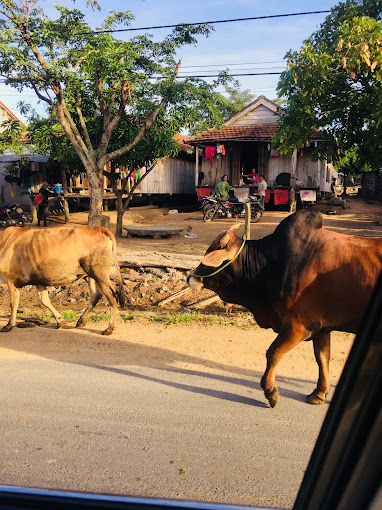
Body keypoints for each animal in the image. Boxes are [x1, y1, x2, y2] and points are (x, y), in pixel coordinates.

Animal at [188, 210, 382, 406]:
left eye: (212, 255)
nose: (191, 278)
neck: (275, 263)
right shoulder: (321, 328)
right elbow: (322, 358)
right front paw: (319, 393)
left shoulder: (299, 326)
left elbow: (273, 353)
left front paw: (270, 391)